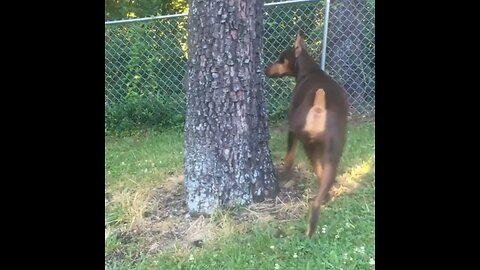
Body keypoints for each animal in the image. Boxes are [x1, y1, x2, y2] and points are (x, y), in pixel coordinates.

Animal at [264, 31, 346, 237]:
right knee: (323, 180)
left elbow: (289, 156)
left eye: (281, 59)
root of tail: (319, 106)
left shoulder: (291, 131)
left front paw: (285, 173)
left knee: (316, 176)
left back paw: (310, 228)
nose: (265, 69)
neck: (310, 71)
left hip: (309, 146)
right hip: (333, 152)